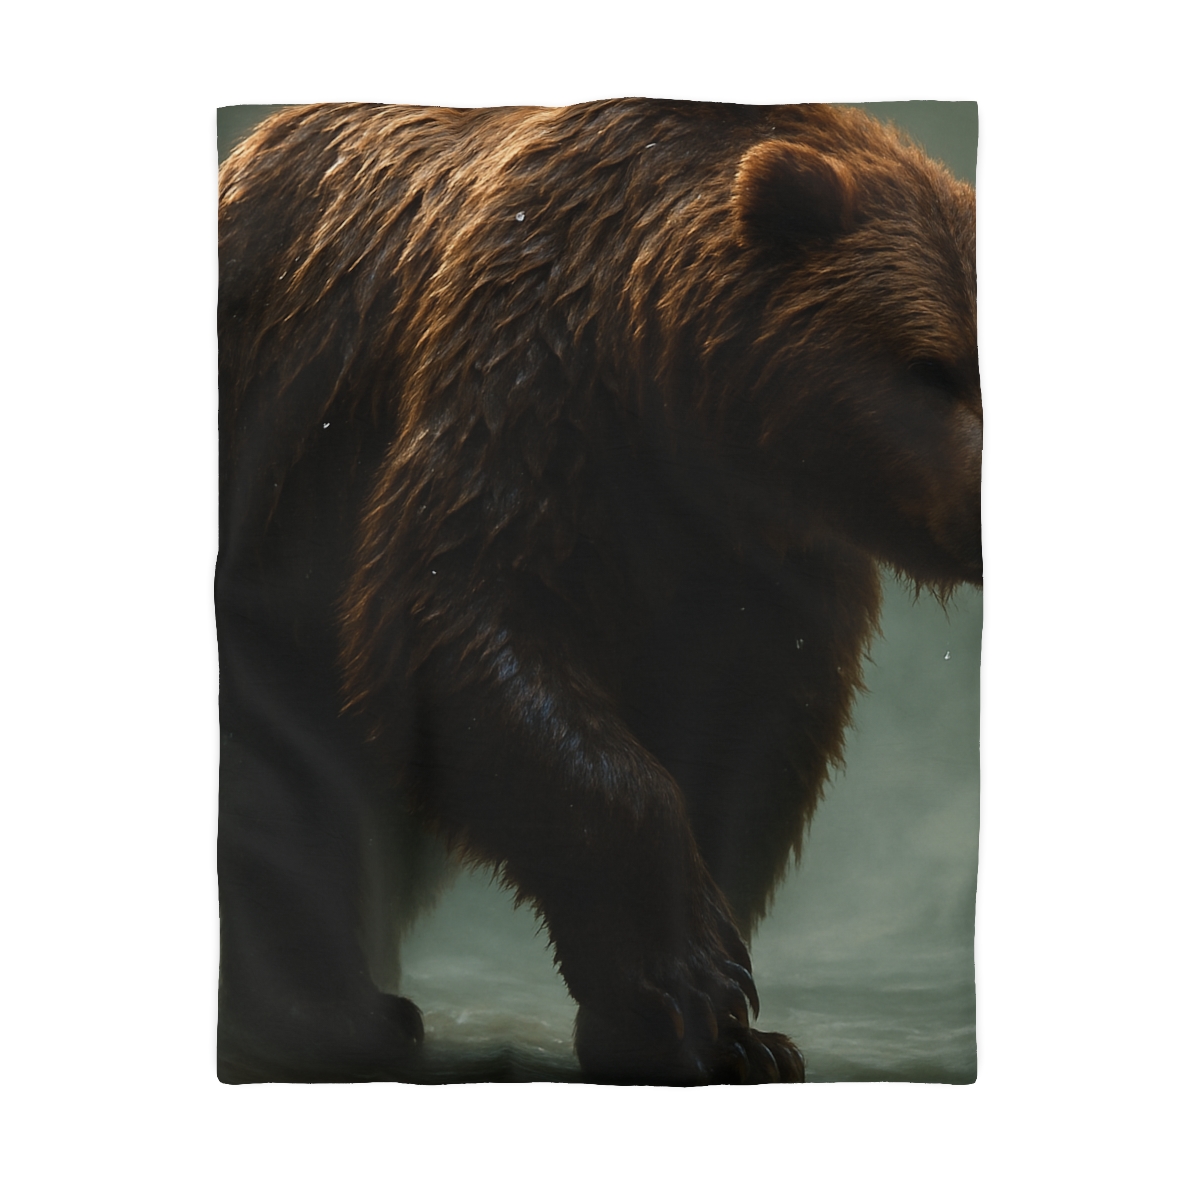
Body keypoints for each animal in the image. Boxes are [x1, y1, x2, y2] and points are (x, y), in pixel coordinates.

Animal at [216, 99, 981, 1085]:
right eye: (933, 364)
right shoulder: (529, 395)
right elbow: (461, 626)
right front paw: (694, 985)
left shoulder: (767, 564)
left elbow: (745, 735)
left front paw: (722, 1033)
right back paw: (332, 1015)